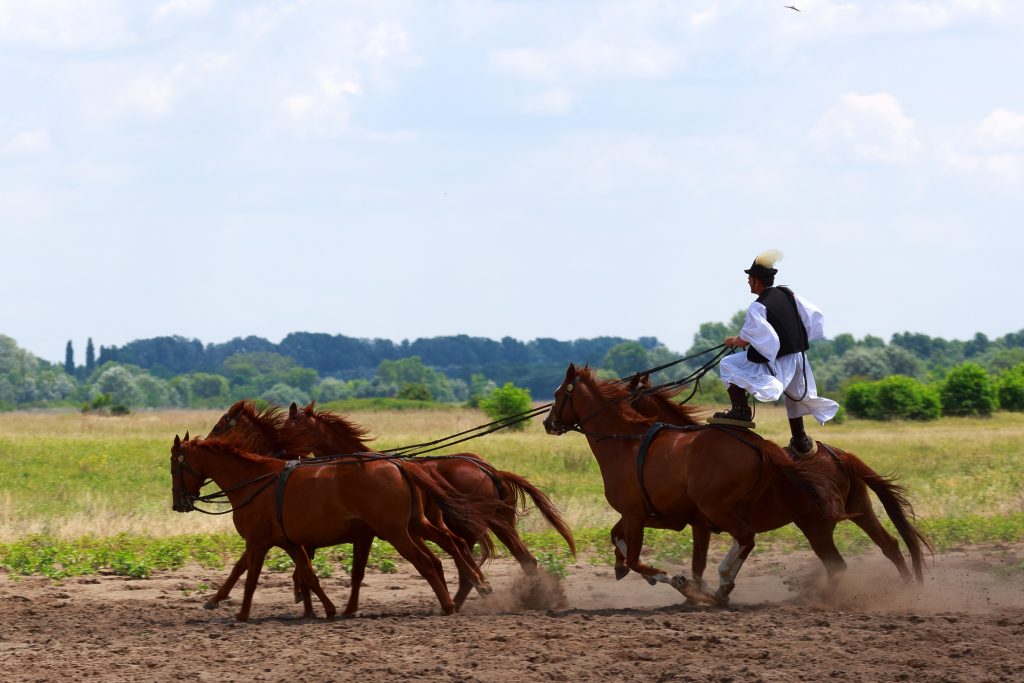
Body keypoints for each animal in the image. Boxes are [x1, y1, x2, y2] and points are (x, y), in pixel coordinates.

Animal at [286, 403, 577, 606]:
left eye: (288, 426)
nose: (284, 458)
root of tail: (491, 470)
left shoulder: (384, 532)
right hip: (500, 525)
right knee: (520, 560)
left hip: (476, 527)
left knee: (471, 563)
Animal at [544, 366, 847, 606]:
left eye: (558, 394)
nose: (548, 423)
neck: (626, 442)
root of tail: (758, 444)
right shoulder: (663, 517)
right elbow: (620, 539)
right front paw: (626, 567)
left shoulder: (639, 516)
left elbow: (637, 558)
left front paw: (676, 582)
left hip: (726, 508)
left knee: (747, 537)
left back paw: (724, 583)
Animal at [626, 370, 933, 589]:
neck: (687, 447)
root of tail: (841, 455)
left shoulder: (699, 520)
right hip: (860, 509)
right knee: (889, 545)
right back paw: (908, 588)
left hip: (816, 526)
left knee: (837, 564)